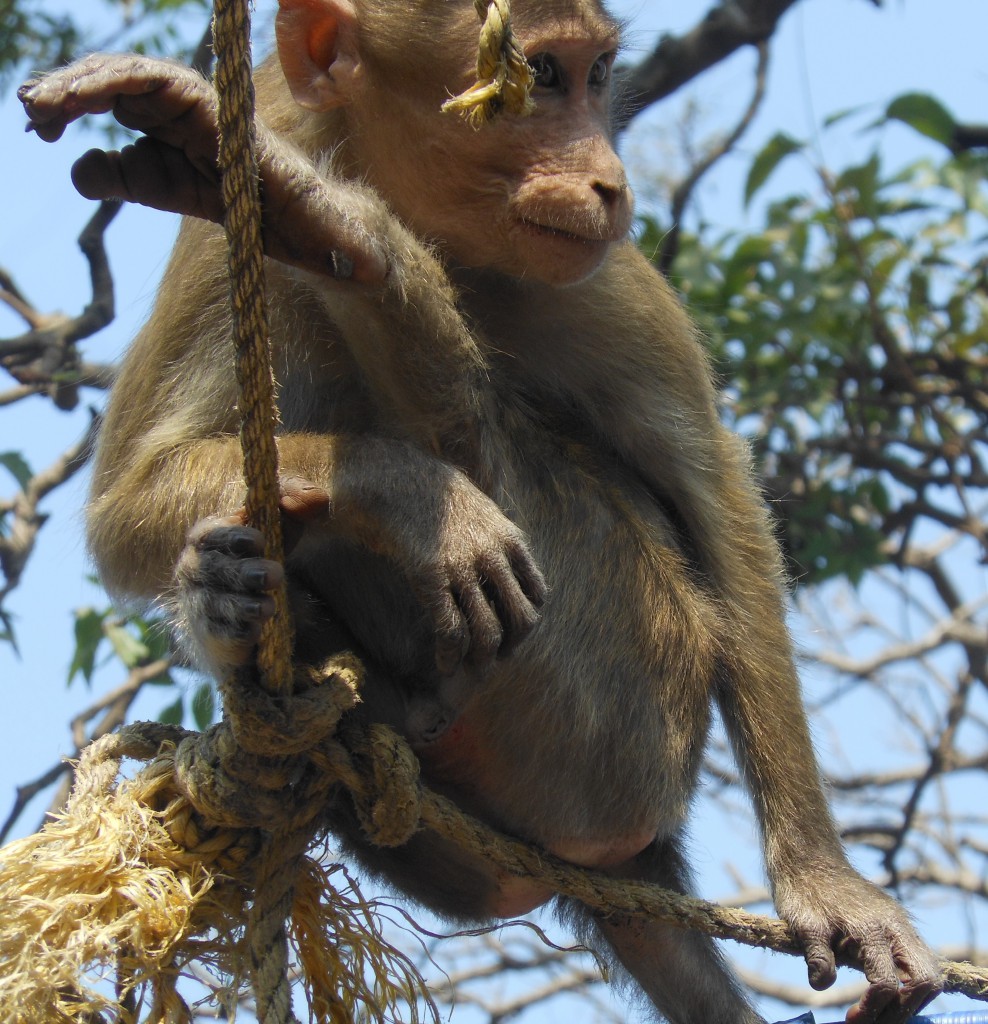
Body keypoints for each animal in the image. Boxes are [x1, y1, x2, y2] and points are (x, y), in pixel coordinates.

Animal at [17, 2, 941, 1024]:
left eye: (594, 74)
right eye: (542, 77)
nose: (608, 179)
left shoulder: (600, 272)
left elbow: (716, 490)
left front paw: (827, 885)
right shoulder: (225, 234)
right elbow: (129, 505)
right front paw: (407, 496)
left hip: (631, 702)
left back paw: (355, 250)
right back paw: (253, 608)